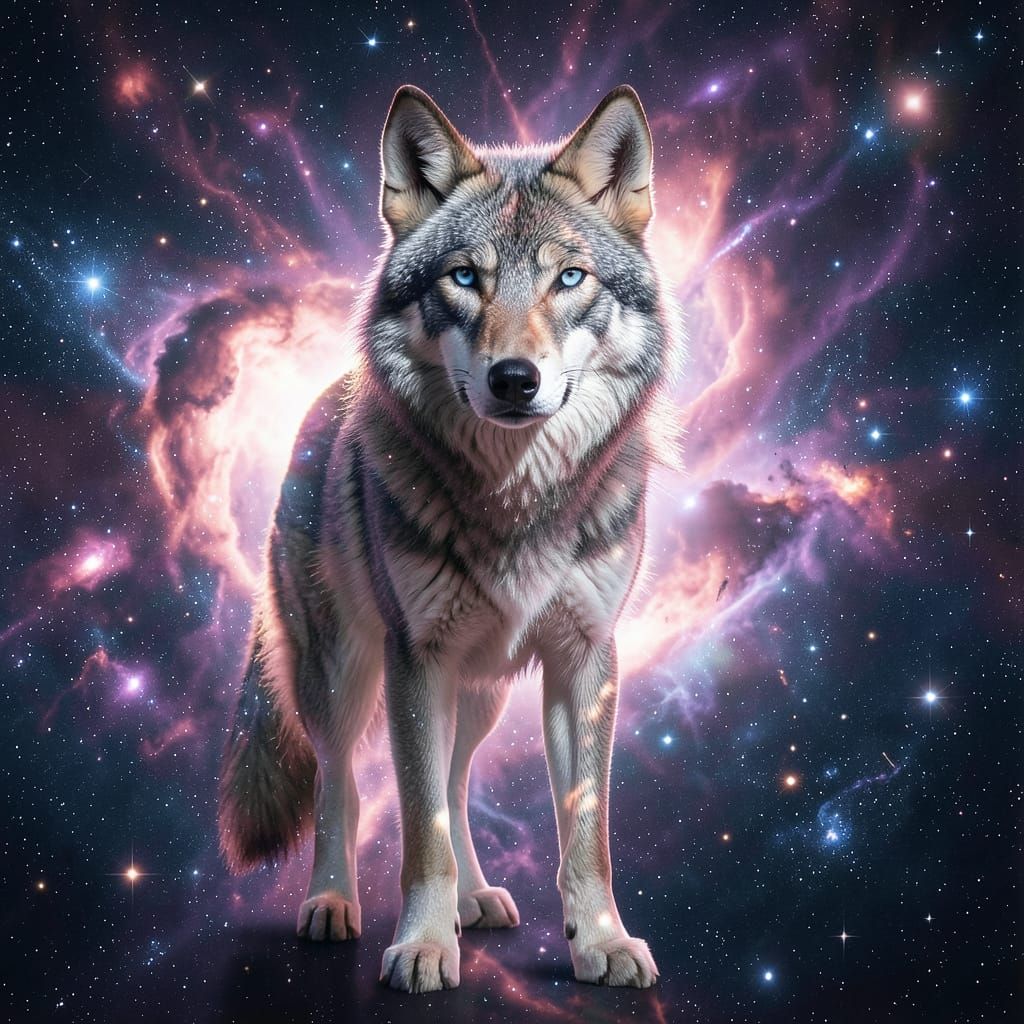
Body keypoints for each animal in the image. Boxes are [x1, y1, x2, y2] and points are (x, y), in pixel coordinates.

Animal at [218, 83, 681, 993]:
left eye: (569, 278)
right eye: (465, 278)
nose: (514, 379)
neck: (517, 500)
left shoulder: (586, 661)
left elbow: (587, 834)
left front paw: (602, 942)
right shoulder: (415, 658)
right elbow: (417, 825)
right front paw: (425, 948)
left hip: (482, 689)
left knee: (460, 783)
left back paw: (475, 897)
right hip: (345, 675)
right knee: (344, 786)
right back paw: (332, 904)